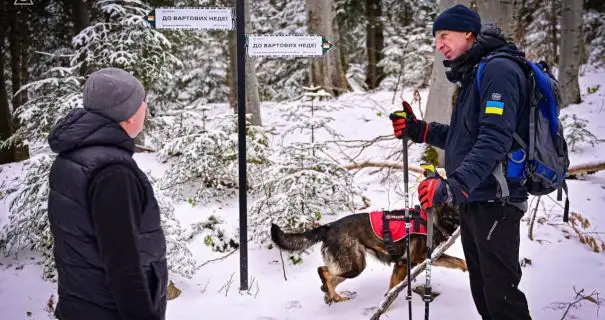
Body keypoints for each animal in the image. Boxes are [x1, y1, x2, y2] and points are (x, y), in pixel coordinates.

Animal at [270, 205, 468, 304]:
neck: (433, 220)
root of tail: (329, 226)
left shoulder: (403, 265)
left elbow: (390, 291)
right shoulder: (411, 261)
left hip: (350, 265)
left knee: (326, 277)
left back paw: (332, 295)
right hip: (356, 265)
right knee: (323, 272)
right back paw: (334, 294)